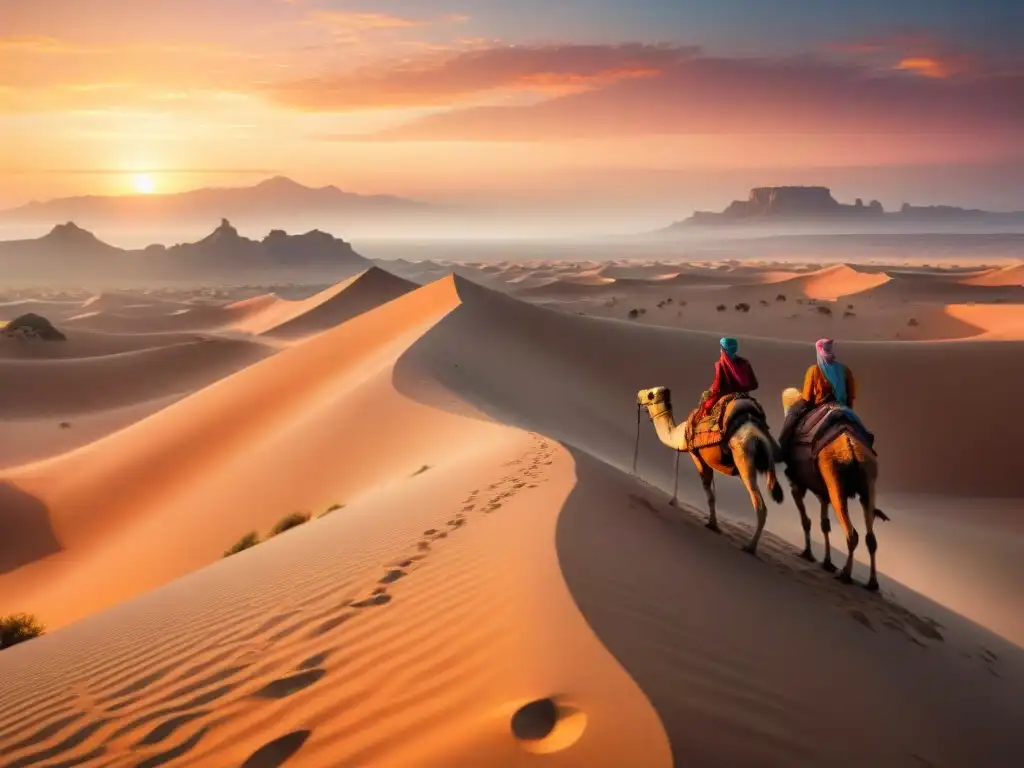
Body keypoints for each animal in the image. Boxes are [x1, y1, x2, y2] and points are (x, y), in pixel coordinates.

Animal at [630, 387, 782, 557]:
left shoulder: (696, 455)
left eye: (650, 394)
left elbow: (709, 494)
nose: (639, 394)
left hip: (743, 455)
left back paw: (750, 547)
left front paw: (712, 524)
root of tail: (757, 435)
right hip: (765, 462)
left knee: (760, 505)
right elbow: (712, 494)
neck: (679, 435)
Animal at [782, 387, 888, 593]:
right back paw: (872, 583)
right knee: (871, 538)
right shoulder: (824, 493)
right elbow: (824, 524)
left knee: (852, 534)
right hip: (868, 482)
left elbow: (806, 520)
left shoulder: (798, 484)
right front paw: (827, 562)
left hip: (835, 479)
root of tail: (851, 448)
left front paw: (808, 553)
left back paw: (845, 574)